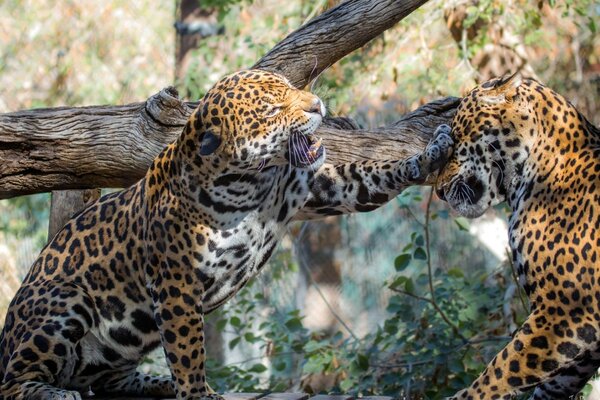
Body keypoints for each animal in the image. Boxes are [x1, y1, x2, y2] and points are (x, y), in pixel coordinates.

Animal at [0, 69, 452, 400]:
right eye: (272, 109)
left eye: (292, 88)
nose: (318, 105)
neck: (248, 183)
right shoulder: (176, 282)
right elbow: (188, 348)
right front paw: (198, 393)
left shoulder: (321, 188)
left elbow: (372, 175)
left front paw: (430, 153)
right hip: (66, 301)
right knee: (14, 384)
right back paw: (54, 392)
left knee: (108, 382)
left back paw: (156, 384)